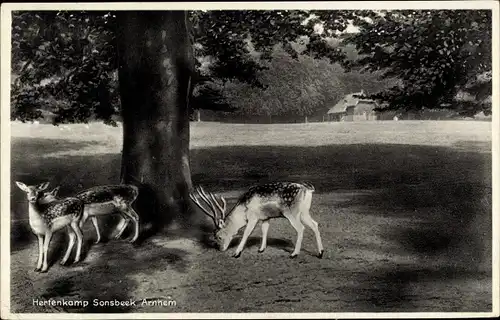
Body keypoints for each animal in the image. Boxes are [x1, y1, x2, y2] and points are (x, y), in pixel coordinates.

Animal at [190, 181, 324, 258]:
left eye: (218, 236)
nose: (220, 249)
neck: (243, 210)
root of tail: (308, 189)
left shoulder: (253, 217)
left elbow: (246, 233)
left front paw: (237, 253)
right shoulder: (265, 217)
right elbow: (265, 230)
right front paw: (261, 249)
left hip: (292, 213)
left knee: (301, 228)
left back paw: (294, 254)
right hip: (304, 212)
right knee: (315, 224)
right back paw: (320, 252)